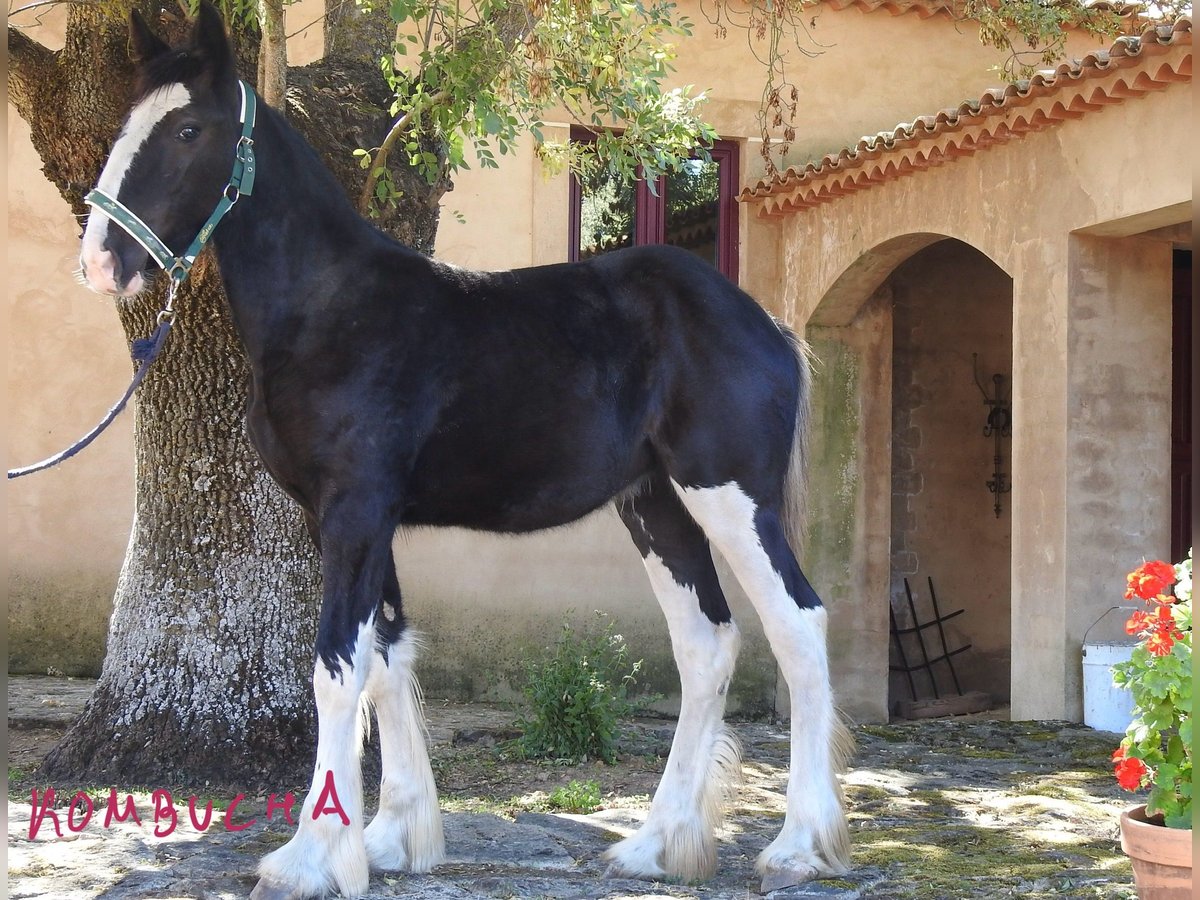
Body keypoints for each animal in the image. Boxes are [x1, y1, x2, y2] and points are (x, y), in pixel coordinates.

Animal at [79, 3, 854, 897]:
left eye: (187, 130)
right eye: (125, 124)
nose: (100, 259)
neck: (329, 309)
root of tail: (767, 325)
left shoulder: (355, 512)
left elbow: (336, 670)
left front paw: (310, 857)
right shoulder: (351, 521)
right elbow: (386, 657)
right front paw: (391, 838)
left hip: (729, 495)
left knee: (798, 626)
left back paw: (798, 844)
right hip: (656, 505)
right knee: (706, 643)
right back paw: (657, 843)